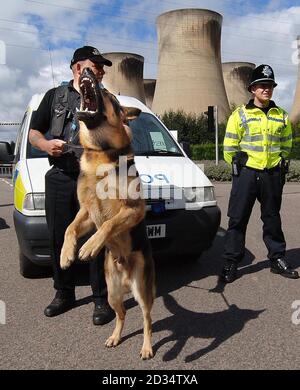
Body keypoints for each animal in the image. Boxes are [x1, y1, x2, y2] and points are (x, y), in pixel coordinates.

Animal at [60, 67, 156, 360]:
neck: (101, 153)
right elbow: (69, 228)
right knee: (121, 314)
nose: (86, 70)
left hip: (142, 291)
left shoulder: (134, 210)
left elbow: (109, 224)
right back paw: (115, 336)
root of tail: (124, 273)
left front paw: (89, 246)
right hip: (112, 294)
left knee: (147, 320)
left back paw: (147, 347)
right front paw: (66, 254)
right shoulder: (86, 212)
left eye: (108, 94)